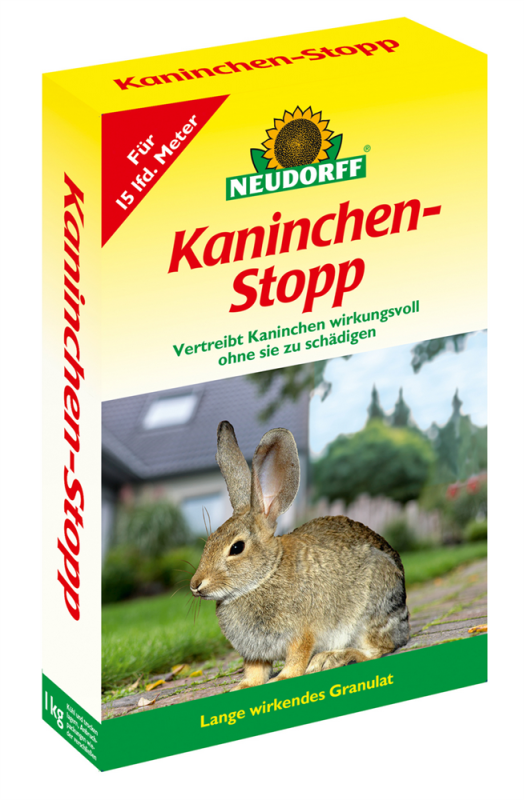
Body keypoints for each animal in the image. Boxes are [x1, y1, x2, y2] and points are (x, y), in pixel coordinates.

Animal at [190, 421, 410, 690]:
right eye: (209, 541)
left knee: (377, 649)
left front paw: (283, 678)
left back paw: (331, 659)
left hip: (369, 614)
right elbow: (255, 671)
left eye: (236, 548)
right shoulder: (254, 653)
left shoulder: (301, 633)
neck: (264, 576)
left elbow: (297, 657)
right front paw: (243, 686)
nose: (196, 584)